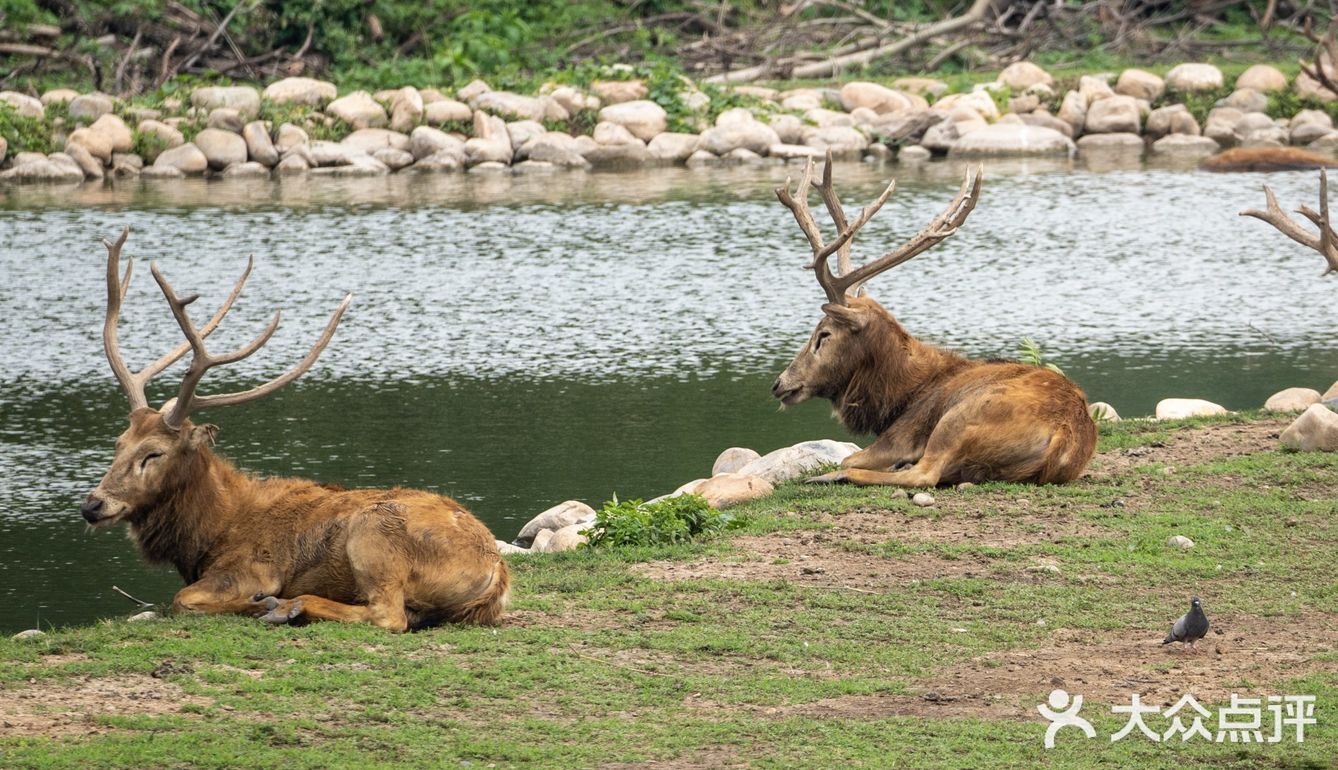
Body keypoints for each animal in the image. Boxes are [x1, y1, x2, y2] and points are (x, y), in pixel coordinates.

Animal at [80, 229, 509, 631]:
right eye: (118, 443)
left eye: (154, 452)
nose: (92, 505)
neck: (208, 534)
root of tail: (497, 573)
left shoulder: (250, 569)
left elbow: (181, 599)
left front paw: (258, 602)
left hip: (374, 533)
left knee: (387, 615)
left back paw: (286, 606)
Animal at [769, 154, 1098, 487]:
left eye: (823, 334)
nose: (779, 383)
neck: (899, 397)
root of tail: (1063, 438)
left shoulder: (902, 434)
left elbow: (852, 455)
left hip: (959, 418)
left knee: (923, 475)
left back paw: (834, 476)